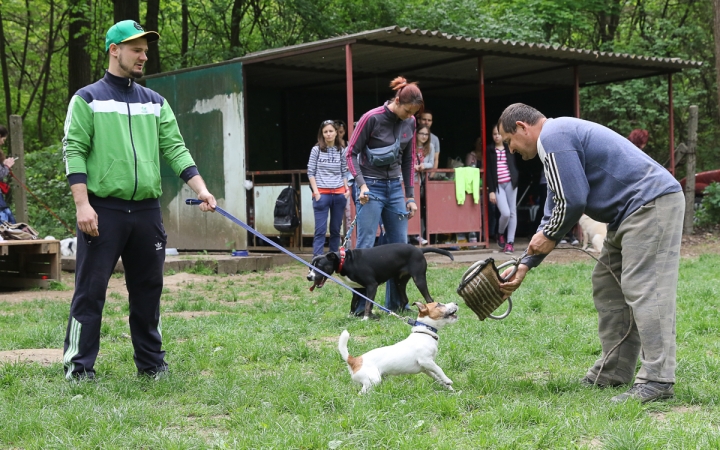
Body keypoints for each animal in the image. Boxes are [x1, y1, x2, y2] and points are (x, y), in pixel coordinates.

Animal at [306, 244, 452, 318]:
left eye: (319, 266)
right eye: (310, 267)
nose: (309, 277)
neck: (344, 260)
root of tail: (419, 249)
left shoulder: (372, 286)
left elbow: (367, 305)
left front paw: (365, 318)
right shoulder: (357, 289)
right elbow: (353, 304)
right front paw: (351, 316)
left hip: (419, 279)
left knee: (429, 299)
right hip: (399, 281)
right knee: (404, 299)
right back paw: (396, 313)